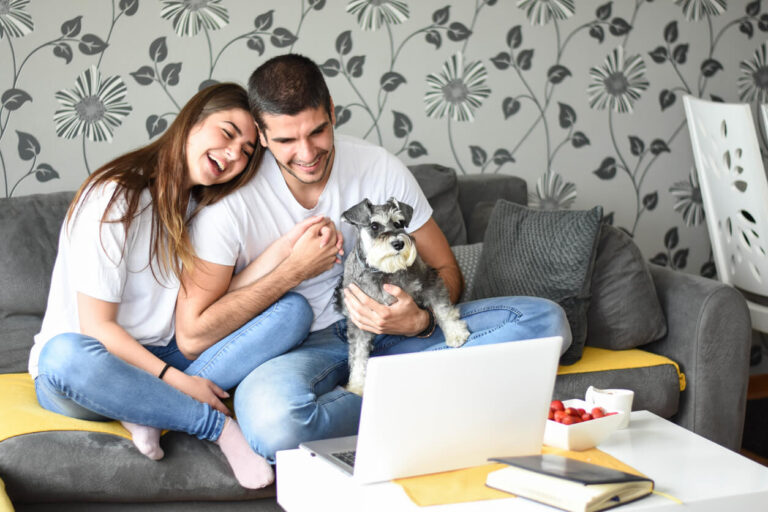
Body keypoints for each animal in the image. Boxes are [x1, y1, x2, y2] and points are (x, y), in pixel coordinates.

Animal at [334, 197, 468, 396]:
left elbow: (442, 309)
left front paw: (456, 333)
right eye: (374, 226)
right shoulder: (358, 323)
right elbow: (358, 354)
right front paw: (357, 385)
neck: (383, 272)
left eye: (399, 223)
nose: (398, 243)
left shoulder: (429, 283)